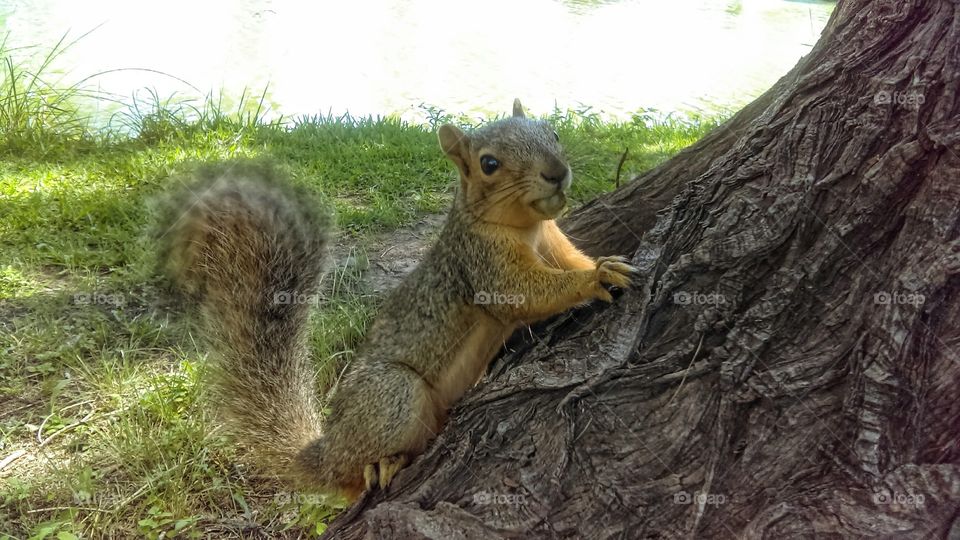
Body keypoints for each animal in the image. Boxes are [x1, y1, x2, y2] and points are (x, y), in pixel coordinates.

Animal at [158, 100, 635, 502]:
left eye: (551, 131)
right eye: (489, 164)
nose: (556, 171)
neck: (526, 227)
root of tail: (326, 453)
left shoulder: (553, 240)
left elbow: (571, 260)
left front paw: (605, 263)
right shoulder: (482, 263)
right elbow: (525, 294)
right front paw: (595, 278)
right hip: (393, 394)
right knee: (360, 466)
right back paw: (384, 463)